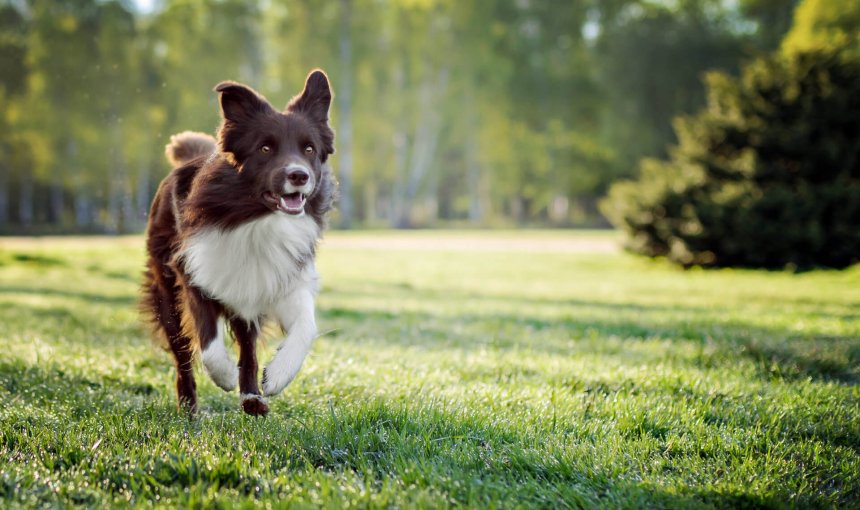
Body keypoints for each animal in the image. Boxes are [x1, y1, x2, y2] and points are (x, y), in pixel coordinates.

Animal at [140, 70, 336, 414]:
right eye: (266, 148)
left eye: (309, 149)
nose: (299, 176)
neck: (258, 220)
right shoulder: (196, 271)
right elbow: (207, 340)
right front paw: (223, 375)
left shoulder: (283, 277)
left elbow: (306, 327)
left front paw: (278, 376)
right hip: (167, 290)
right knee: (182, 353)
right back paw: (189, 407)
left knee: (248, 345)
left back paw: (251, 397)